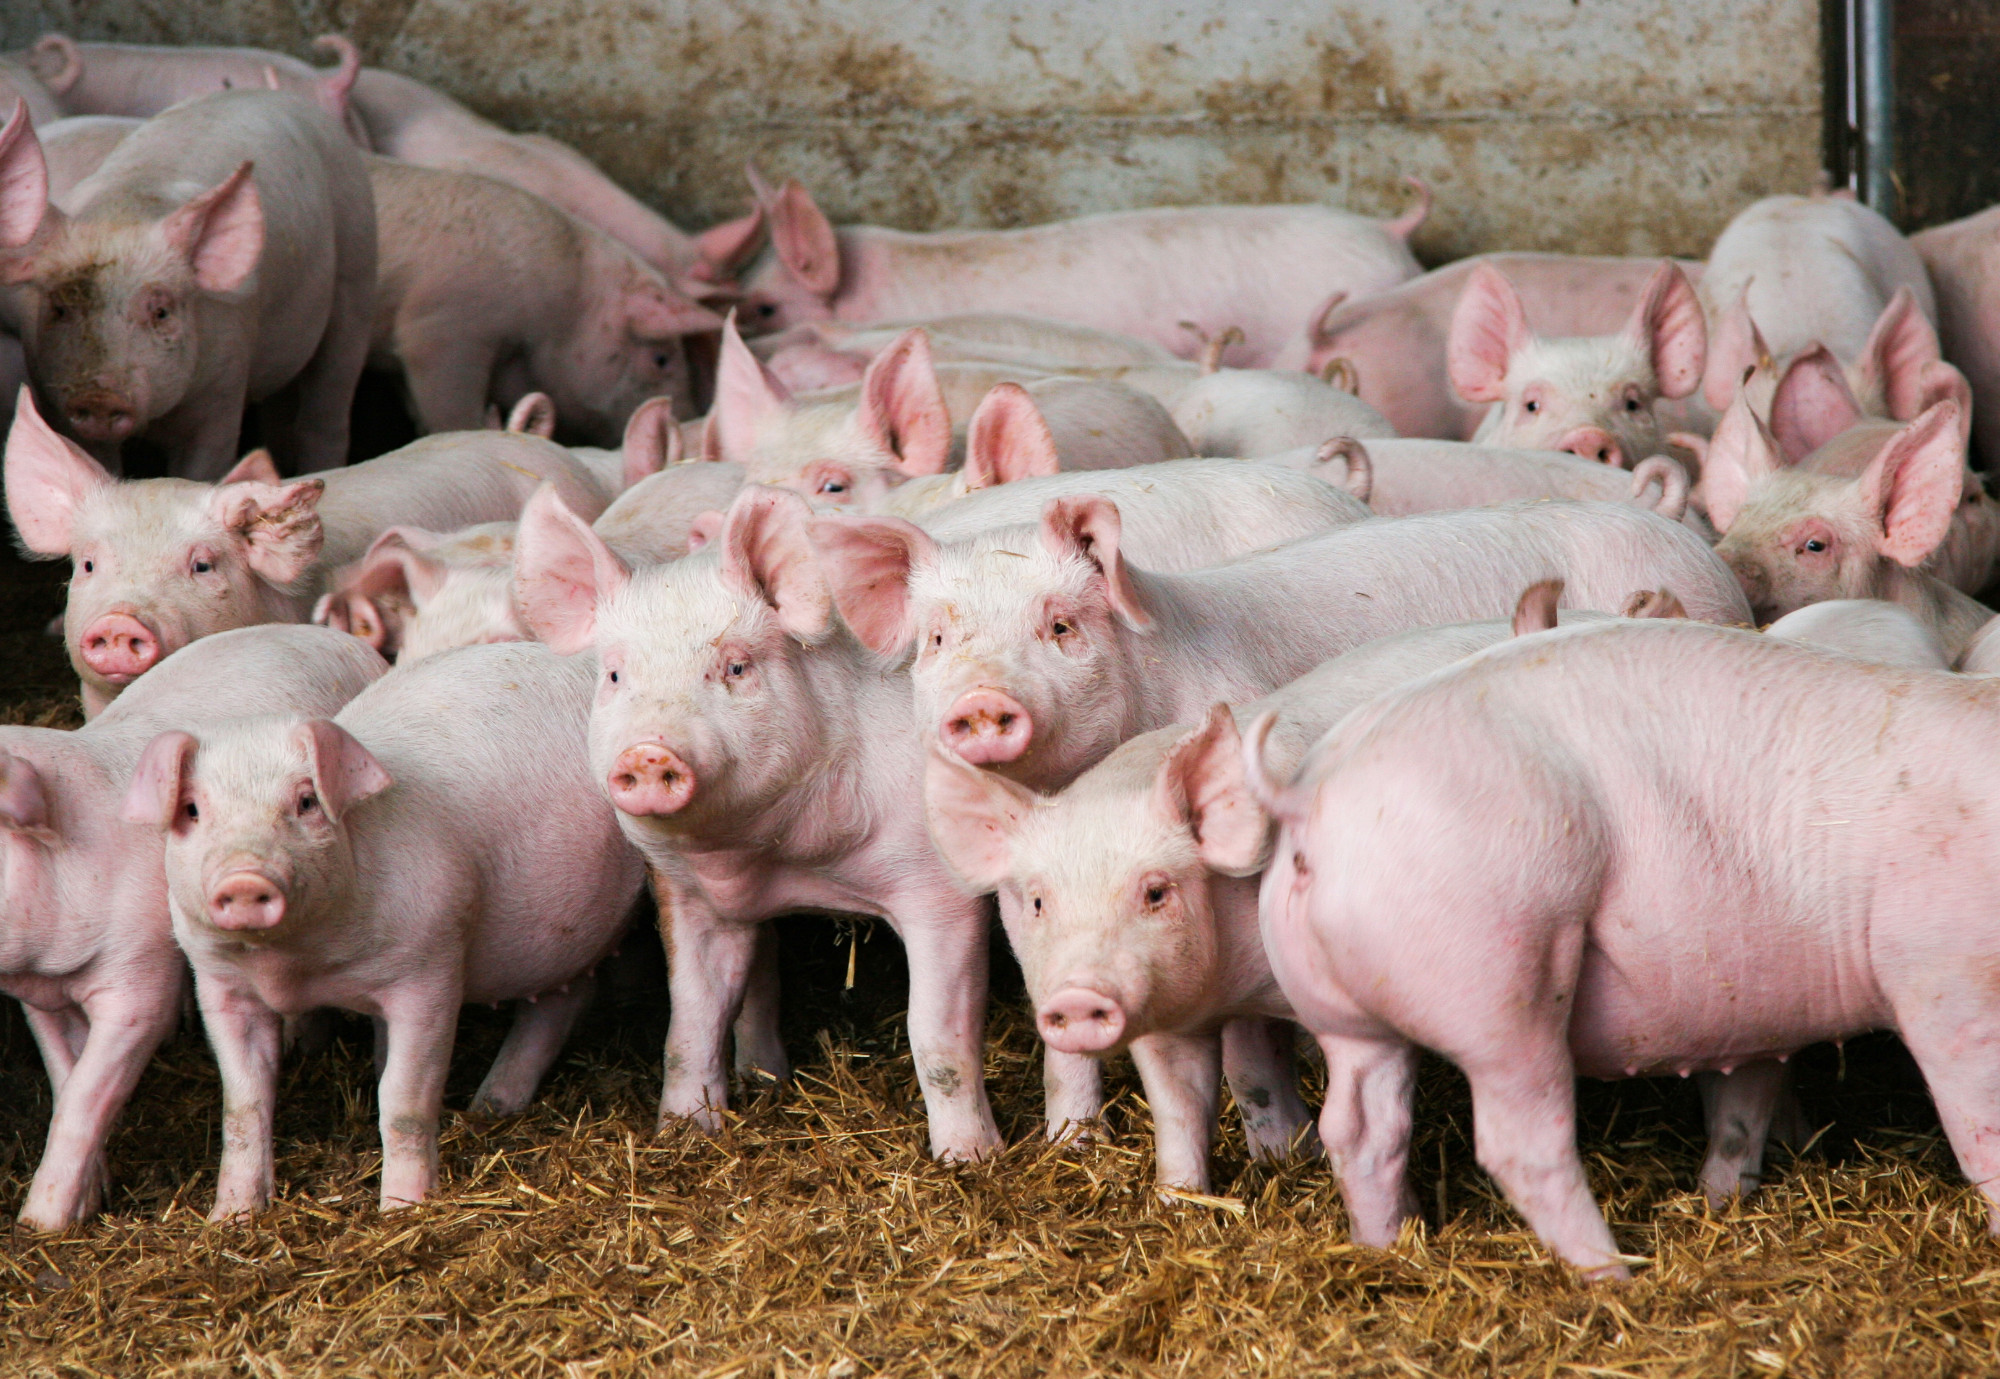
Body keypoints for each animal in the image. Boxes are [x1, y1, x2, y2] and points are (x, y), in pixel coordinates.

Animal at [0, 90, 376, 478]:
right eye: (60, 308)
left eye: (161, 312)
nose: (99, 395)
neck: (126, 213)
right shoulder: (55, 399)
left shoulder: (224, 388)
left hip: (358, 269)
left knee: (328, 408)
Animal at [2, 623, 383, 1230]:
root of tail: (335, 637)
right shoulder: (41, 998)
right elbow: (64, 1079)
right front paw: (89, 1200)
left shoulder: (140, 977)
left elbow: (87, 1096)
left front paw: (37, 1225)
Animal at [131, 640, 645, 1216]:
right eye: (193, 810)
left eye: (306, 802)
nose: (244, 876)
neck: (295, 966)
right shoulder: (220, 984)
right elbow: (242, 1105)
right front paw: (232, 1219)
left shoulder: (430, 967)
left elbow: (402, 1100)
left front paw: (402, 1210)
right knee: (561, 999)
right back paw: (490, 1105)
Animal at [511, 484, 1007, 1161]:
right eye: (614, 675)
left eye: (737, 668)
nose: (648, 753)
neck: (782, 858)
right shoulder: (692, 897)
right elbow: (690, 1023)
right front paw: (684, 1133)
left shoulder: (940, 887)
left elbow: (935, 1033)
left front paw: (972, 1160)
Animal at [1244, 616, 2000, 1278]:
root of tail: (1309, 794)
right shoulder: (1947, 982)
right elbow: (1980, 1123)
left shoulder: (1759, 1002)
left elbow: (1744, 1102)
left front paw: (1721, 1199)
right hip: (1502, 984)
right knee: (1521, 1143)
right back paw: (1615, 1274)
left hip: (1345, 1015)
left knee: (1360, 1128)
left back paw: (1388, 1246)